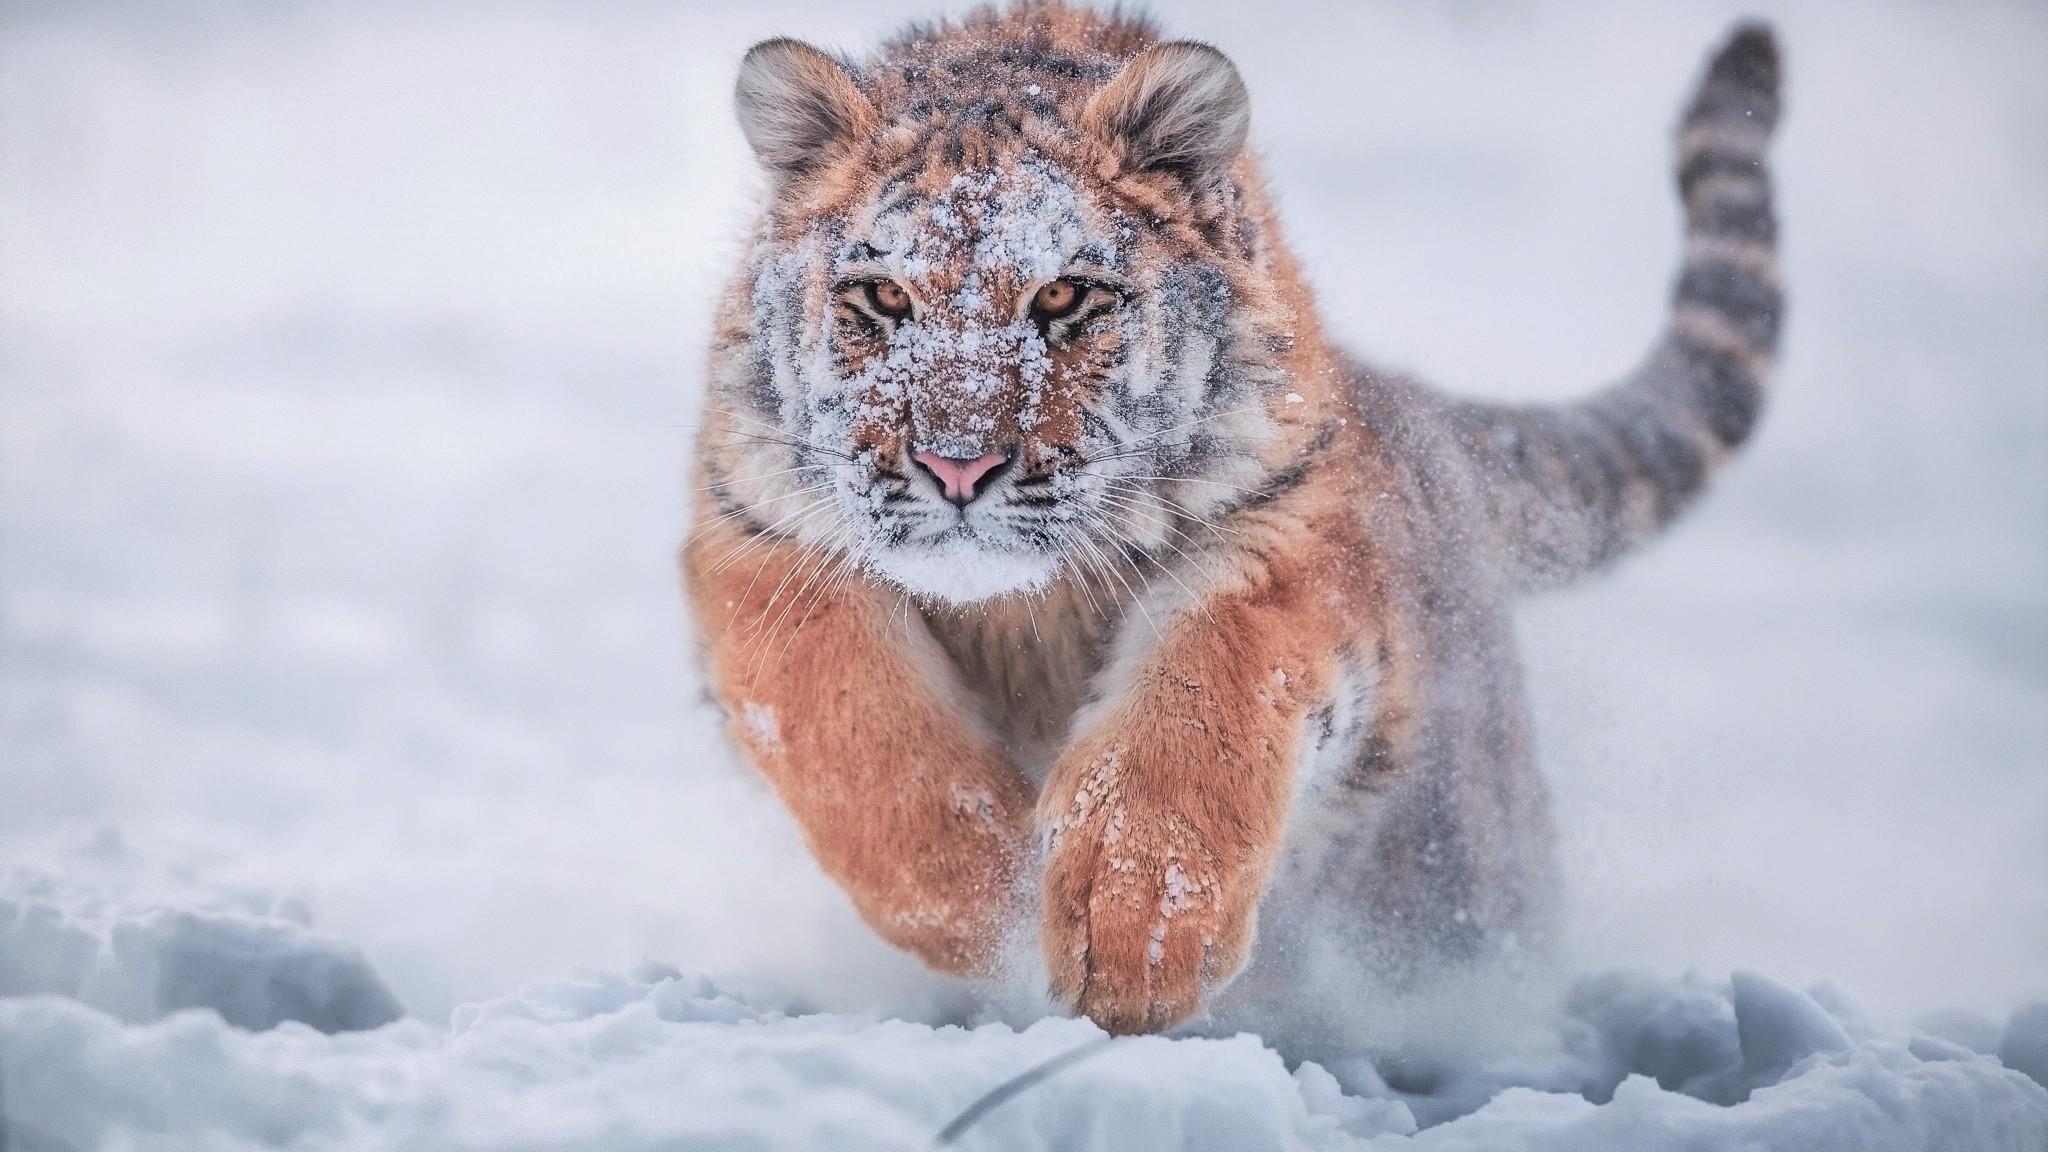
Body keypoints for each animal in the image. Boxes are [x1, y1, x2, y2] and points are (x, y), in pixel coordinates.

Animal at [682, 1, 1783, 1037]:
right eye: (880, 295)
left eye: (1064, 297)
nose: (959, 464)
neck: (1022, 611)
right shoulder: (761, 540)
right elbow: (852, 725)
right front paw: (985, 901)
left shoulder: (1283, 535)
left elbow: (1198, 700)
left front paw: (1133, 936)